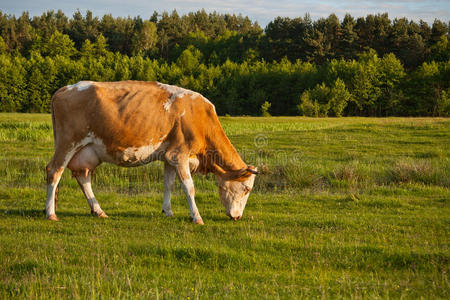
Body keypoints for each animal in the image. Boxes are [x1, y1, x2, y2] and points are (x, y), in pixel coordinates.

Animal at [46, 81, 258, 224]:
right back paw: (50, 213)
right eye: (246, 189)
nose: (237, 216)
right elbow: (189, 187)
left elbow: (168, 184)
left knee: (83, 177)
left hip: (86, 151)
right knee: (54, 171)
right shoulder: (180, 155)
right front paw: (196, 217)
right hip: (68, 143)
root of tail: (64, 89)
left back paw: (98, 210)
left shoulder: (169, 157)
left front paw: (168, 211)